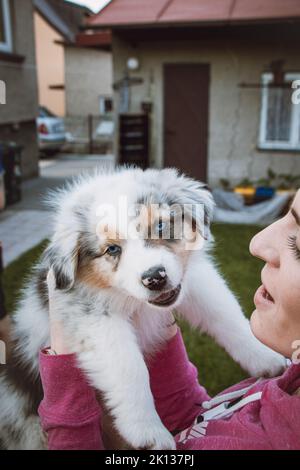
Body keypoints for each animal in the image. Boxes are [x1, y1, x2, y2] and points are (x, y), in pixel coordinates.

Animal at [0, 167, 284, 450]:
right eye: (112, 249)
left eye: (159, 225)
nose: (155, 277)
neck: (133, 301)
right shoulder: (90, 314)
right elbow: (129, 367)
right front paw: (148, 431)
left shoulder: (193, 278)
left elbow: (225, 312)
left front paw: (266, 356)